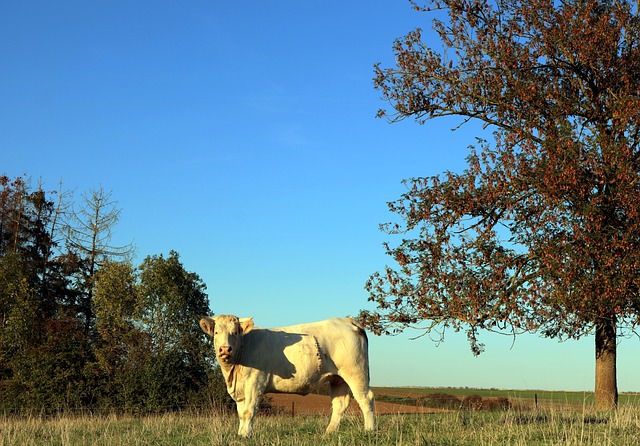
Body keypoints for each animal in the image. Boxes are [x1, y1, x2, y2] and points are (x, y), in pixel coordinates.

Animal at [200, 316, 376, 438]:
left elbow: (249, 411)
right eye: (216, 332)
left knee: (366, 398)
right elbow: (241, 413)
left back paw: (369, 430)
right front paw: (241, 434)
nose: (225, 349)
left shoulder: (255, 383)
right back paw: (329, 432)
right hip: (338, 378)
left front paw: (246, 435)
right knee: (340, 403)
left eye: (235, 333)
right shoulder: (241, 389)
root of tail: (347, 320)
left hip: (356, 371)